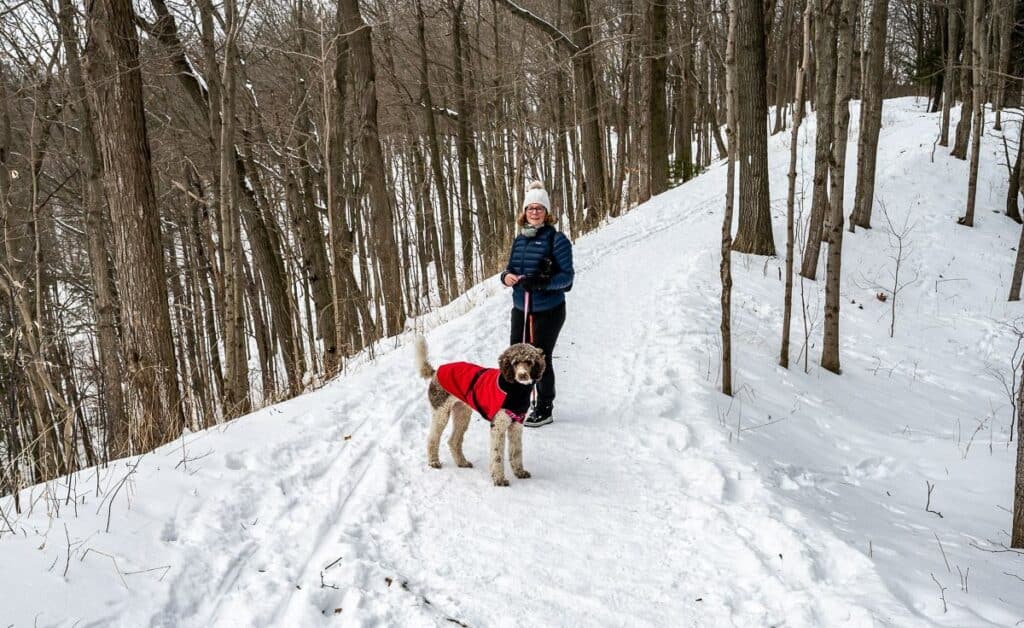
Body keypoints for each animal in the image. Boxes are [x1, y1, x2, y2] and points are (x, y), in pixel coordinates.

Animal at [413, 338, 548, 485]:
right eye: (515, 362)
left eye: (529, 362)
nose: (522, 375)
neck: (515, 390)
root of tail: (436, 372)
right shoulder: (498, 426)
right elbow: (497, 456)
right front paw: (499, 479)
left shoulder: (516, 425)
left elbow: (516, 451)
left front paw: (519, 472)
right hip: (441, 412)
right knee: (433, 438)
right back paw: (433, 461)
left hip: (462, 414)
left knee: (453, 441)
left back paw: (462, 462)